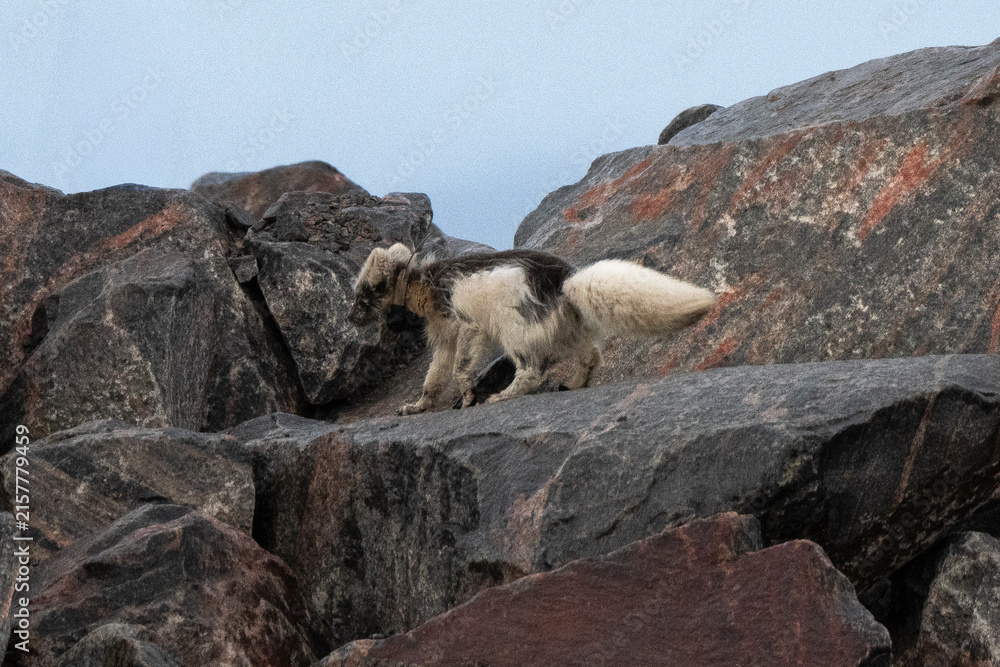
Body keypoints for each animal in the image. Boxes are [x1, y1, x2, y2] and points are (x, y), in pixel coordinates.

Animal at [348, 243, 717, 415]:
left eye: (364, 294)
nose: (350, 318)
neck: (423, 284)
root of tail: (565, 281)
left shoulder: (466, 326)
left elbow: (460, 368)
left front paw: (467, 396)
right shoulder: (445, 338)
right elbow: (435, 376)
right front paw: (416, 406)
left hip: (514, 328)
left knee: (531, 371)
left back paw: (502, 395)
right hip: (566, 327)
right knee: (591, 356)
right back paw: (573, 384)